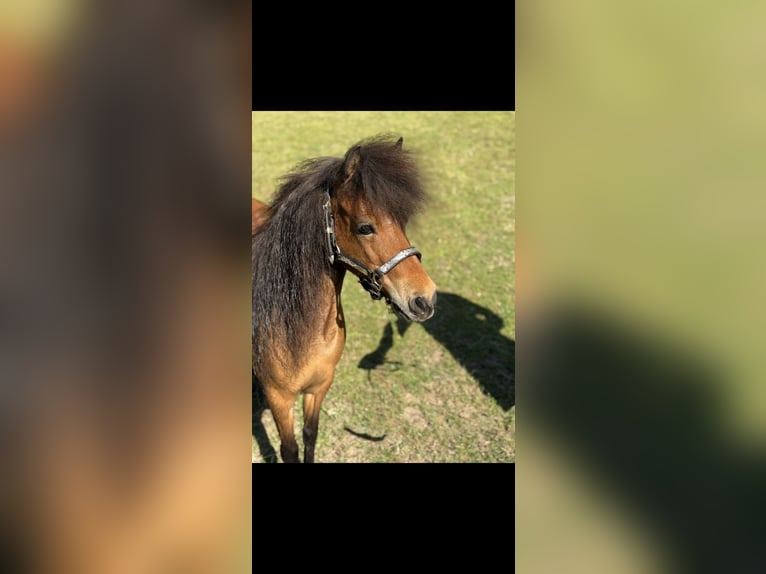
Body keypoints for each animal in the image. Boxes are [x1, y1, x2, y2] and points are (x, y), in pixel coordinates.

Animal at [252, 135, 438, 462]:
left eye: (403, 221)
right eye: (364, 227)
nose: (424, 300)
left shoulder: (319, 387)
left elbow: (310, 436)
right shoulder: (279, 398)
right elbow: (289, 449)